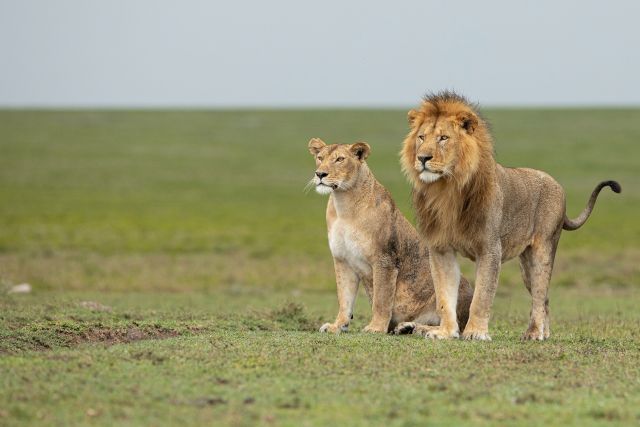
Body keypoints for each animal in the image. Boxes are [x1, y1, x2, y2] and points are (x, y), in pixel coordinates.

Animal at [308, 138, 474, 334]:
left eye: (340, 159)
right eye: (320, 157)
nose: (320, 174)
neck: (343, 204)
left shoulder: (385, 259)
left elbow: (381, 299)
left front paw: (376, 328)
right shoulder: (342, 260)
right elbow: (344, 299)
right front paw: (337, 326)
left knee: (455, 327)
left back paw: (418, 329)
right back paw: (406, 327)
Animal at [400, 91, 621, 341]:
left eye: (443, 138)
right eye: (421, 137)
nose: (422, 158)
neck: (447, 189)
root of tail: (556, 183)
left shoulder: (490, 249)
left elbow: (482, 296)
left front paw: (475, 332)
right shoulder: (441, 249)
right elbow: (444, 297)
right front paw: (445, 331)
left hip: (543, 250)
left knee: (539, 295)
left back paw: (534, 333)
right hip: (525, 264)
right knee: (545, 300)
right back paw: (544, 333)